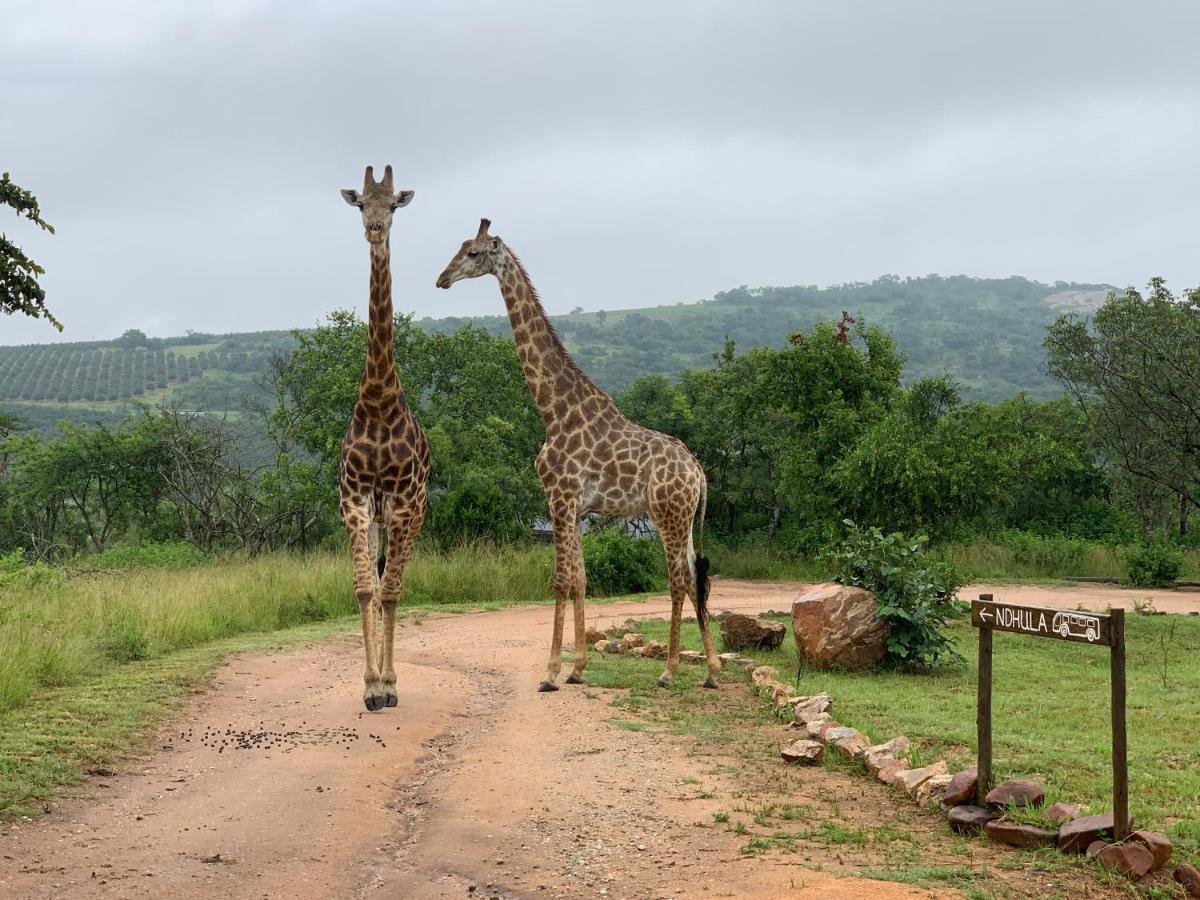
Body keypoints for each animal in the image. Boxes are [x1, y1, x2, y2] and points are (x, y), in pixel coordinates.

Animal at [436, 218, 715, 691]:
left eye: (473, 253)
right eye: (460, 247)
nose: (441, 279)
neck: (554, 411)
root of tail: (698, 471)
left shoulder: (560, 498)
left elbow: (561, 580)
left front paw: (550, 672)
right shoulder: (578, 507)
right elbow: (582, 579)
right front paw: (577, 668)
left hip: (667, 514)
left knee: (679, 579)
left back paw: (669, 670)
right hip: (684, 516)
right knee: (697, 576)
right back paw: (711, 671)